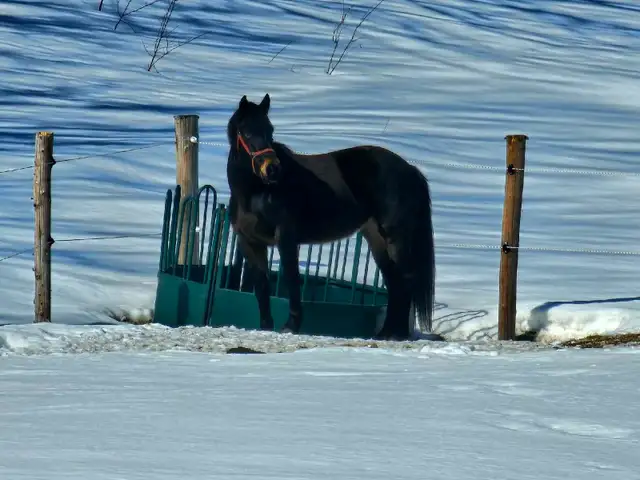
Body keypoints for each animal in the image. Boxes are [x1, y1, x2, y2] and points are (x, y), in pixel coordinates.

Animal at [225, 93, 435, 341]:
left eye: (270, 130)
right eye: (247, 132)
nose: (272, 169)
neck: (255, 192)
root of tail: (411, 171)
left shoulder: (285, 238)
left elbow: (291, 278)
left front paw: (291, 326)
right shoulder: (249, 242)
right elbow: (261, 286)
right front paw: (266, 326)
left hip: (396, 238)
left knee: (406, 281)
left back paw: (396, 334)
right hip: (377, 240)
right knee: (396, 284)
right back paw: (386, 333)